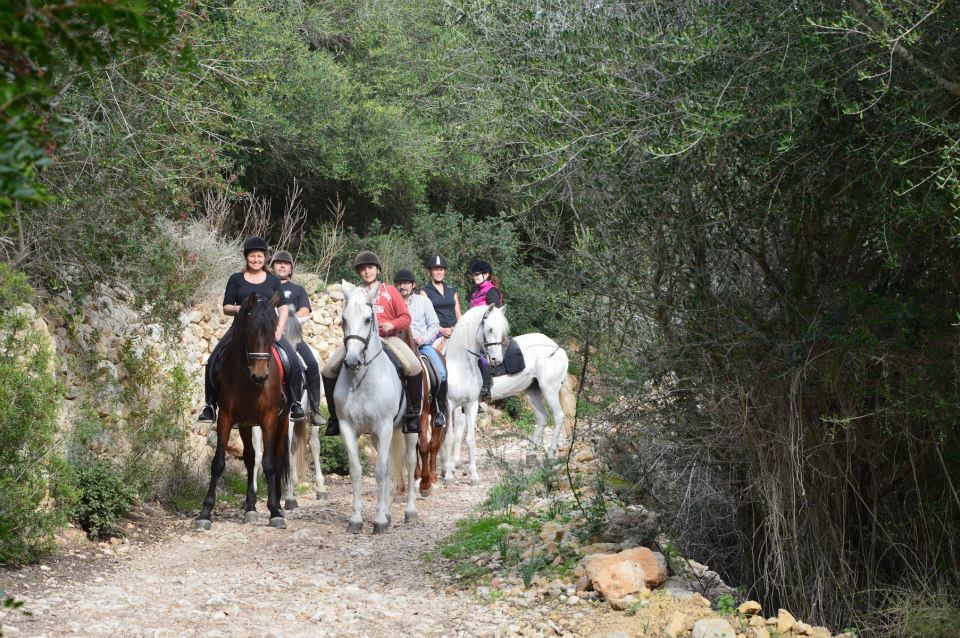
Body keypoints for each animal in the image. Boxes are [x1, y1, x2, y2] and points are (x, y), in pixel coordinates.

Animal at [193, 292, 286, 532]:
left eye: (272, 330)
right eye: (249, 330)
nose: (260, 375)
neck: (248, 381)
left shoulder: (269, 418)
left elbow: (269, 464)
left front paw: (274, 512)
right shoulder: (226, 417)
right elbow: (218, 464)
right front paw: (205, 513)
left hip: (282, 421)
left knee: (277, 459)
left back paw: (278, 506)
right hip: (245, 424)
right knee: (250, 458)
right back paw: (250, 508)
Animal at [334, 282, 416, 536]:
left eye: (368, 319)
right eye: (343, 319)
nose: (352, 361)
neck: (362, 379)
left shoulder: (385, 426)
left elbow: (379, 471)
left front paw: (378, 521)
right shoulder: (347, 427)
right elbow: (356, 470)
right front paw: (356, 519)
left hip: (411, 429)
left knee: (410, 462)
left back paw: (409, 511)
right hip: (377, 435)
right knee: (389, 465)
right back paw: (388, 513)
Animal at [442, 304, 568, 480]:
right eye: (490, 329)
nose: (497, 360)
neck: (457, 364)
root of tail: (557, 348)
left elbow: (458, 432)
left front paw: (453, 465)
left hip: (549, 389)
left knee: (558, 417)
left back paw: (550, 456)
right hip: (532, 391)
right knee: (543, 418)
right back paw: (530, 456)